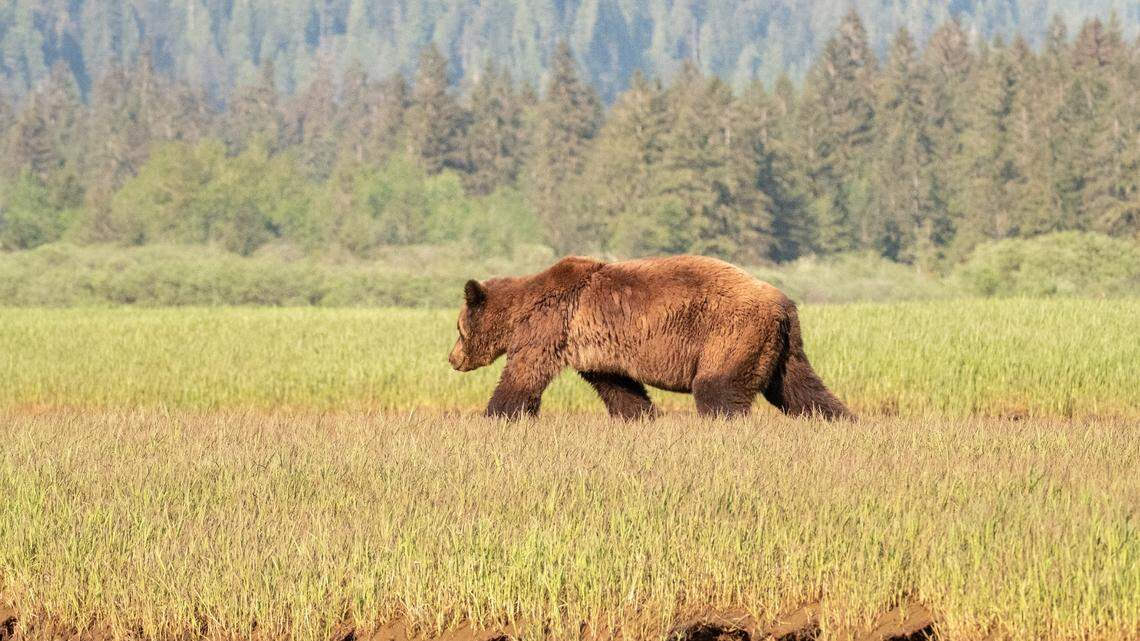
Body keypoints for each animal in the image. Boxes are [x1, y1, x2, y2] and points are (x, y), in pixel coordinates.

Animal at [448, 254, 853, 420]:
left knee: (718, 388)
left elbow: (522, 377)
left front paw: (496, 415)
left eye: (457, 328)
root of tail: (783, 302)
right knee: (801, 389)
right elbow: (619, 387)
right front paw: (641, 416)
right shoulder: (596, 349)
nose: (452, 358)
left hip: (731, 332)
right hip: (782, 346)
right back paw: (841, 420)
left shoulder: (549, 329)